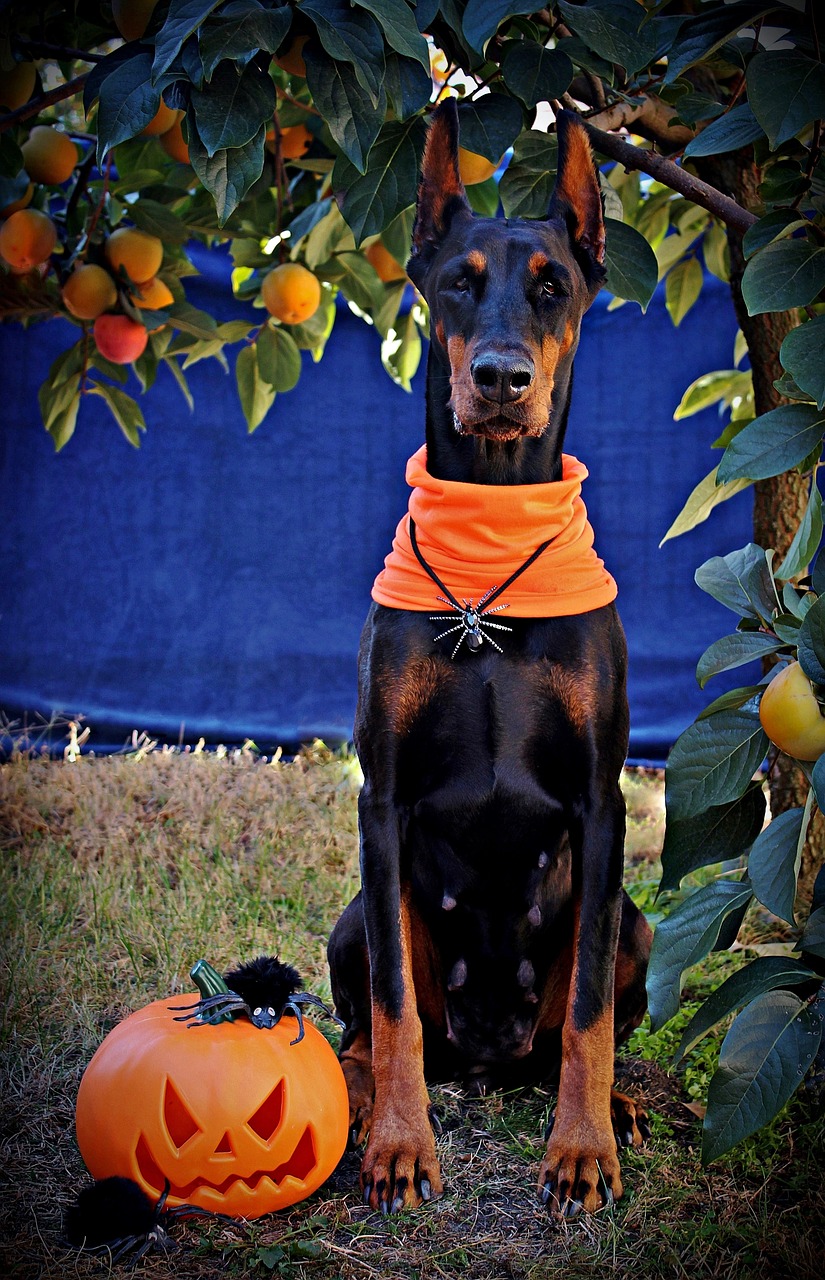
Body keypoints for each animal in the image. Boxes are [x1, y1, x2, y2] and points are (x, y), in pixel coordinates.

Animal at [326, 99, 649, 1218]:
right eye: (459, 281)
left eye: (552, 286)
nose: (500, 378)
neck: (495, 525)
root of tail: (489, 1053)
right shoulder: (381, 802)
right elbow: (391, 1006)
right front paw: (397, 1145)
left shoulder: (601, 801)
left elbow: (590, 1010)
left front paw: (582, 1151)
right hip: (350, 920)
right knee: (371, 1022)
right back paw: (362, 1094)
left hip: (634, 920)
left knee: (566, 1032)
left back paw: (616, 1105)